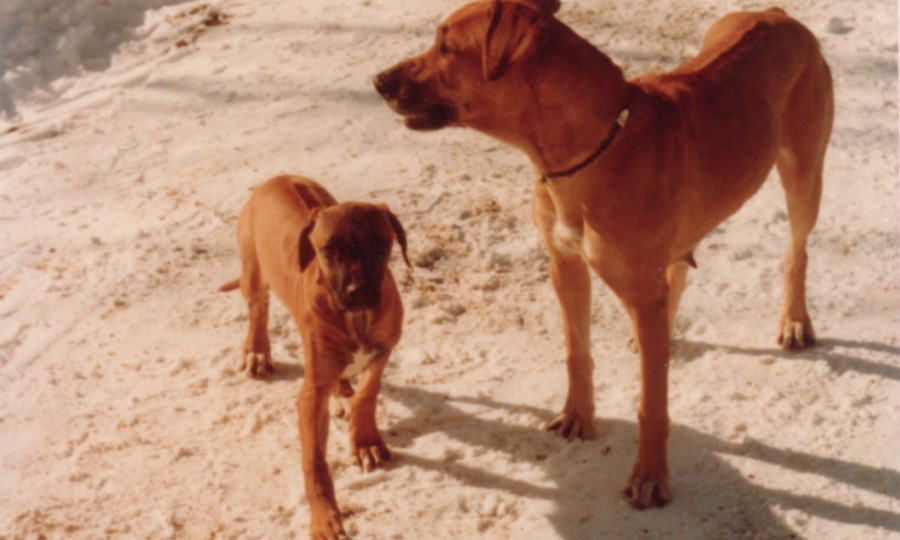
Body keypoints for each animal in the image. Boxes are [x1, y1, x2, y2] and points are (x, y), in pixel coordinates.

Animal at [220, 175, 410, 536]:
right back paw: (257, 352)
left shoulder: (382, 352)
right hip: (253, 270)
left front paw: (365, 442)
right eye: (329, 250)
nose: (357, 292)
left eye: (381, 247)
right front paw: (325, 518)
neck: (356, 319)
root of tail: (278, 177)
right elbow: (314, 462)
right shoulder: (310, 395)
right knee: (258, 308)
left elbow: (367, 394)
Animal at [370, 0, 828, 508]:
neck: (589, 149)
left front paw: (650, 476)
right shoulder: (565, 266)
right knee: (677, 273)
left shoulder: (635, 290)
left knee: (796, 250)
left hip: (803, 172)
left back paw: (793, 320)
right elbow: (577, 352)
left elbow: (652, 405)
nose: (379, 80)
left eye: (446, 46)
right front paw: (578, 416)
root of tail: (778, 14)